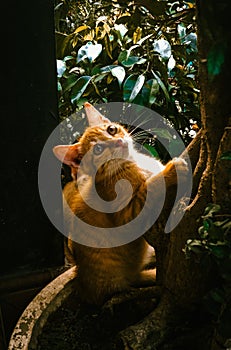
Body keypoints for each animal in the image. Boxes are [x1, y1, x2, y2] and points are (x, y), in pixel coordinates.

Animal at [52, 102, 188, 304]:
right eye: (98, 150)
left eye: (111, 129)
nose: (118, 142)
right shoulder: (128, 214)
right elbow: (150, 188)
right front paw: (171, 171)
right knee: (135, 279)